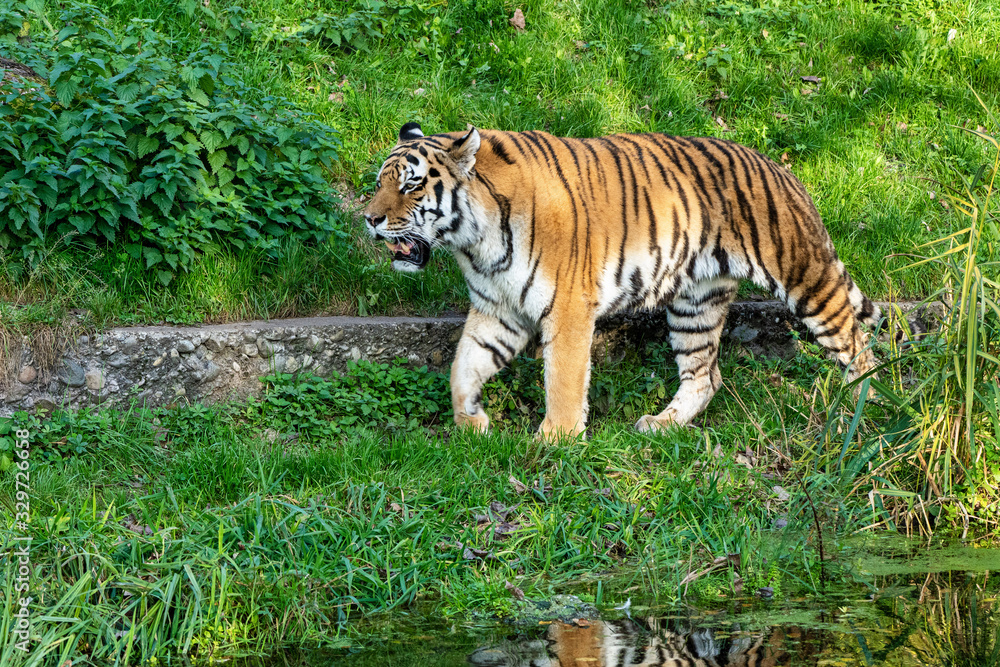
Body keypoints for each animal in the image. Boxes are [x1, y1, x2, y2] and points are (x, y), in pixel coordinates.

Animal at [362, 122, 880, 440]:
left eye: (410, 185)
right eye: (381, 182)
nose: (369, 218)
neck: (473, 240)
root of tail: (780, 169)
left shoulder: (568, 307)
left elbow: (564, 379)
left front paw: (555, 441)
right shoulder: (498, 309)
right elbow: (463, 366)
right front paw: (471, 423)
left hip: (806, 280)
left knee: (860, 348)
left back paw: (860, 415)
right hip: (696, 303)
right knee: (705, 375)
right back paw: (662, 425)